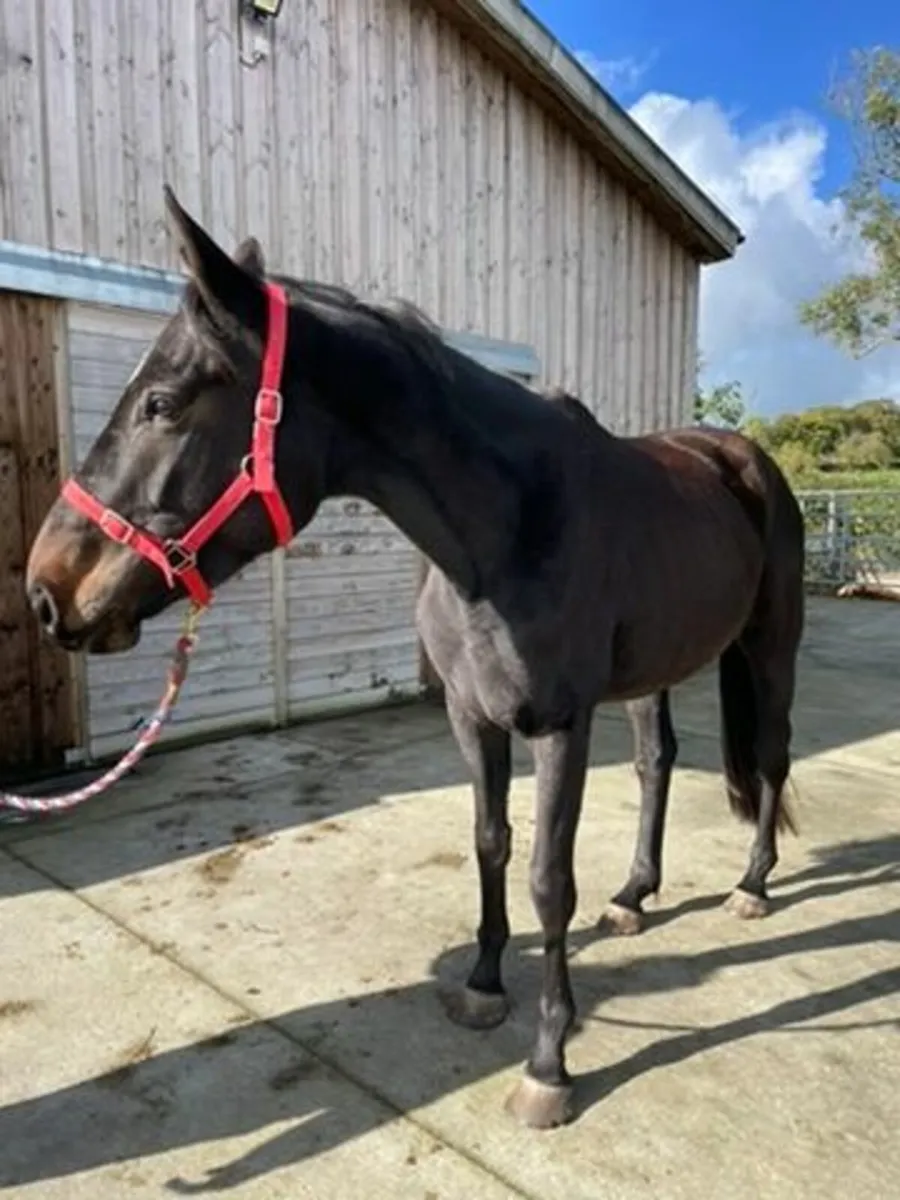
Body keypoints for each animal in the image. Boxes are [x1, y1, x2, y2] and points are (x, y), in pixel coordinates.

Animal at [25, 187, 805, 1130]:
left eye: (163, 404)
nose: (46, 589)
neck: (505, 529)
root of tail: (744, 459)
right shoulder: (472, 717)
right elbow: (490, 844)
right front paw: (482, 984)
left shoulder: (560, 725)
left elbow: (548, 879)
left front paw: (549, 1063)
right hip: (654, 672)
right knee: (658, 761)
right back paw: (633, 897)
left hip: (771, 644)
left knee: (771, 757)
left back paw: (753, 885)